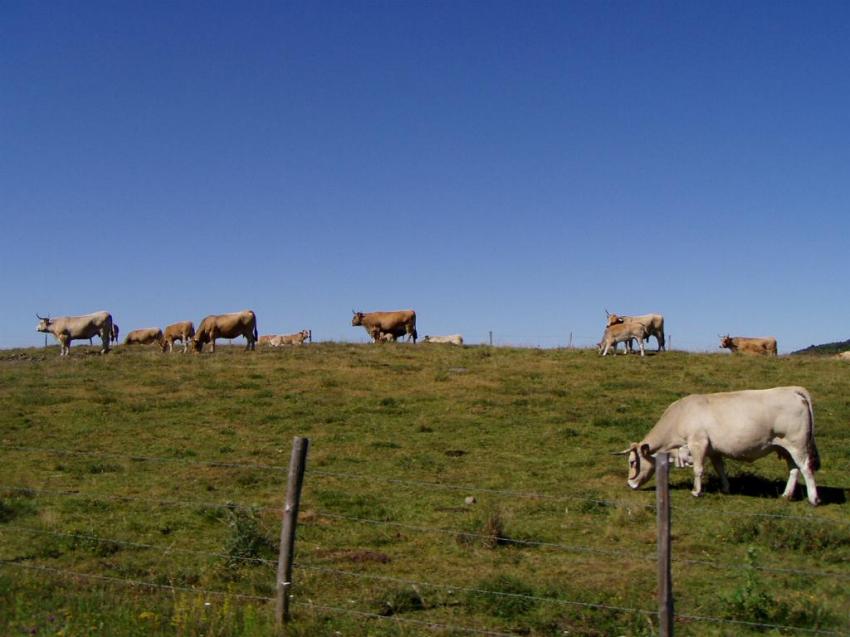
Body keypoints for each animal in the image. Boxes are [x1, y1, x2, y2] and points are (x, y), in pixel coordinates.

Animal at [614, 386, 820, 505]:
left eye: (632, 462)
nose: (630, 484)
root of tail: (792, 390)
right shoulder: (713, 450)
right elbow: (720, 468)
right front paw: (726, 488)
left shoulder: (698, 443)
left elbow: (698, 469)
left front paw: (696, 491)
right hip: (785, 447)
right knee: (793, 469)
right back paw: (786, 495)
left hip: (798, 444)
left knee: (806, 468)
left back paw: (813, 499)